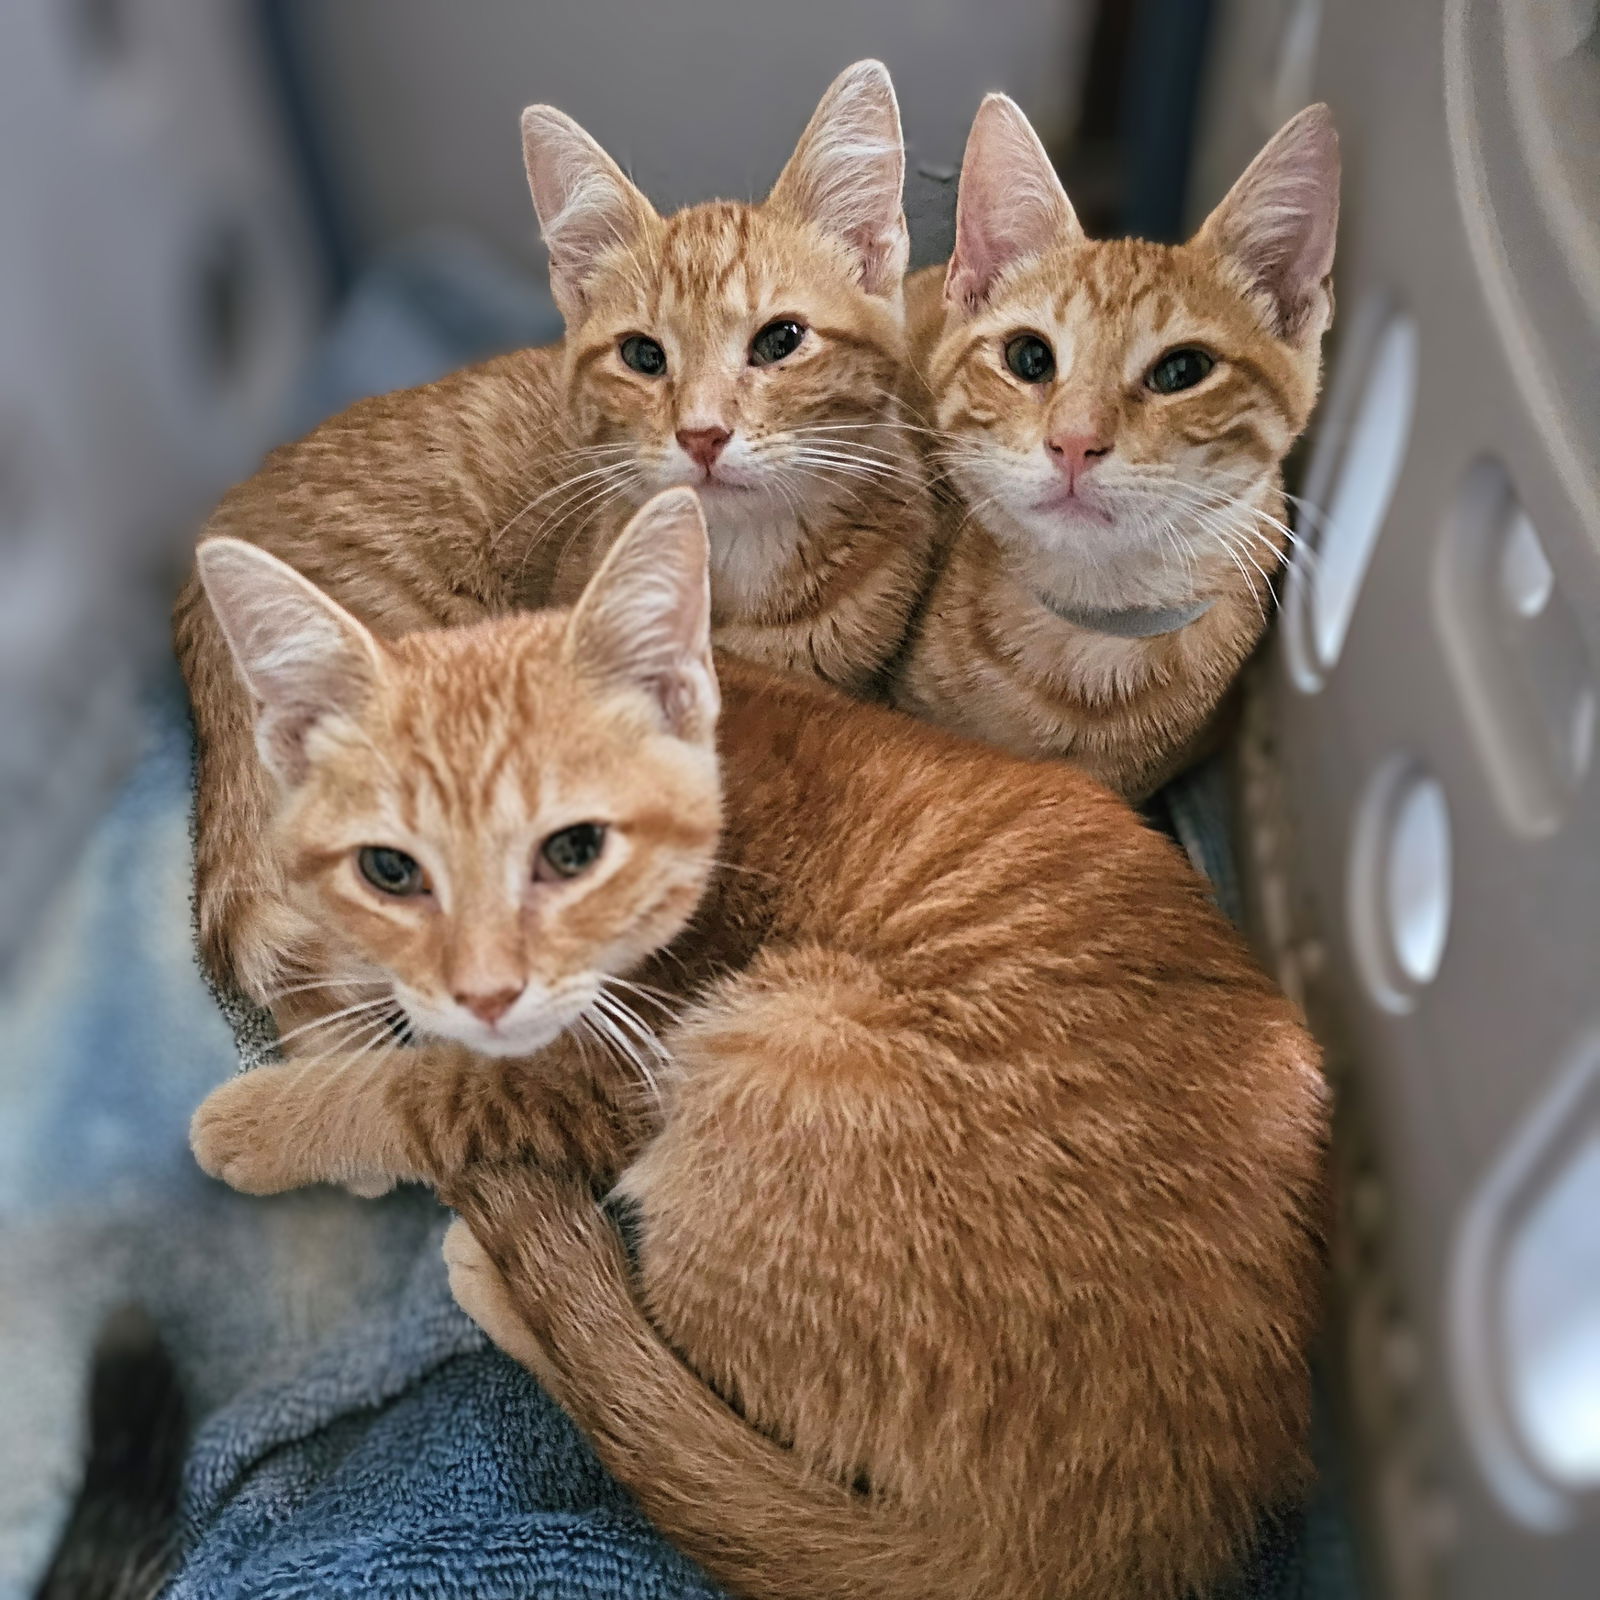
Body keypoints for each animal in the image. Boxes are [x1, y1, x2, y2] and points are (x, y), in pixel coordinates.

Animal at [193, 486, 1331, 1600]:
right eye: (390, 871)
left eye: (574, 849)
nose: (484, 989)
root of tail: (1107, 1541)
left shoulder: (609, 1070)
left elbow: (427, 1092)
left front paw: (267, 1121)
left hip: (774, 1041)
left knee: (665, 1402)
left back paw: (504, 1276)